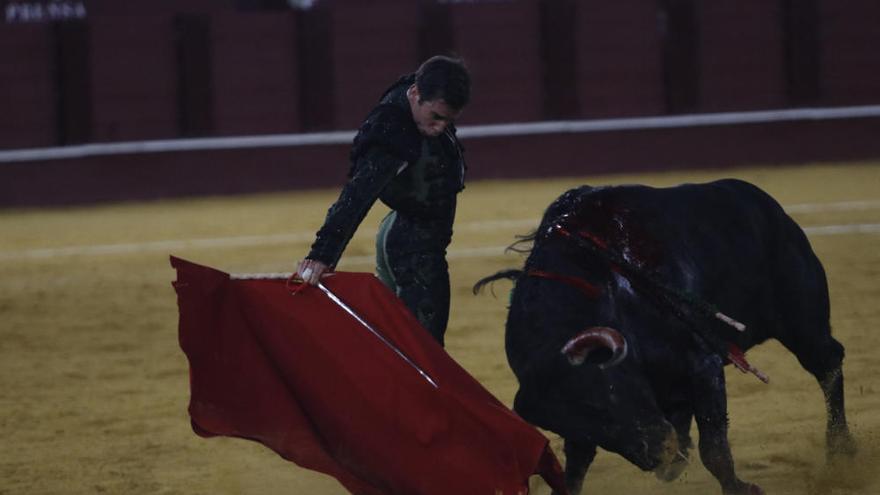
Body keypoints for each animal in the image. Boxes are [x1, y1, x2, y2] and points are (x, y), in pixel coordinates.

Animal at [478, 180, 856, 495]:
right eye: (587, 417)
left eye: (606, 392)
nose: (658, 451)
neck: (606, 287)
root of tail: (764, 204)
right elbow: (574, 467)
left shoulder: (701, 363)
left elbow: (713, 449)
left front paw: (741, 488)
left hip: (802, 321)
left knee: (828, 363)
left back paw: (841, 453)